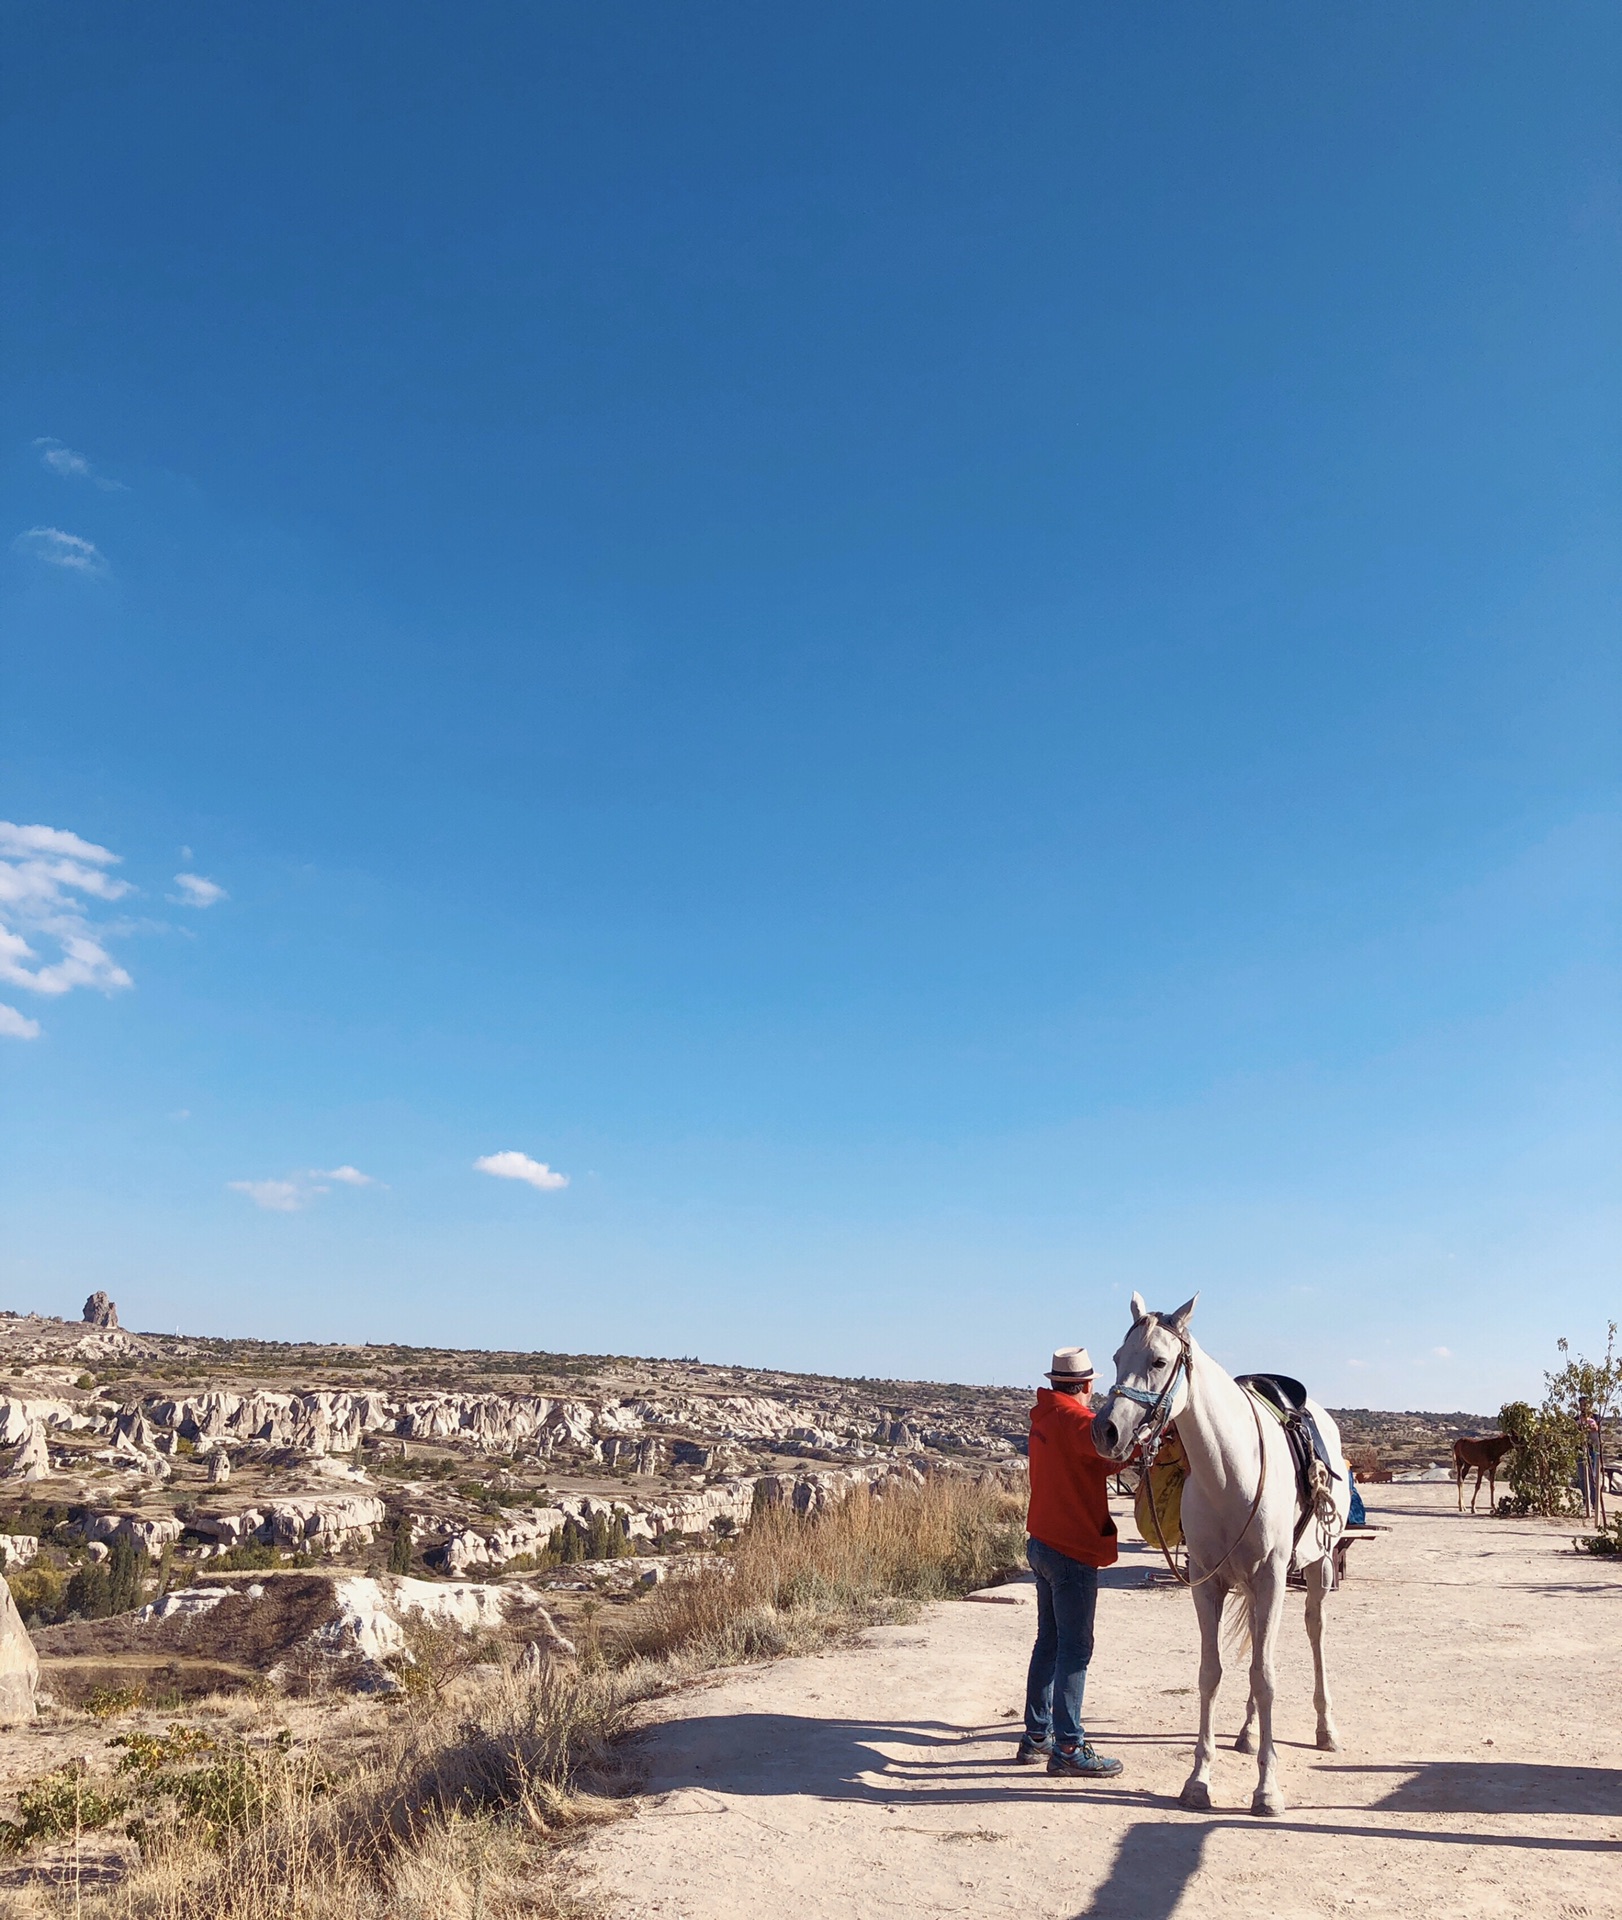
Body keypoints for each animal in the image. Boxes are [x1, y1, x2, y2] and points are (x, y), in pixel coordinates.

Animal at [1097, 1290, 1351, 1812]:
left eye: (1159, 1361)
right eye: (1115, 1358)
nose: (1107, 1431)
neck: (1231, 1472)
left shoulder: (1272, 1578)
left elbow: (1266, 1676)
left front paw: (1267, 1789)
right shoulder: (1208, 1583)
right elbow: (1212, 1673)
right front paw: (1199, 1779)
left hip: (1316, 1570)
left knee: (1314, 1633)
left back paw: (1326, 1730)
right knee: (1255, 1644)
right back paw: (1248, 1733)